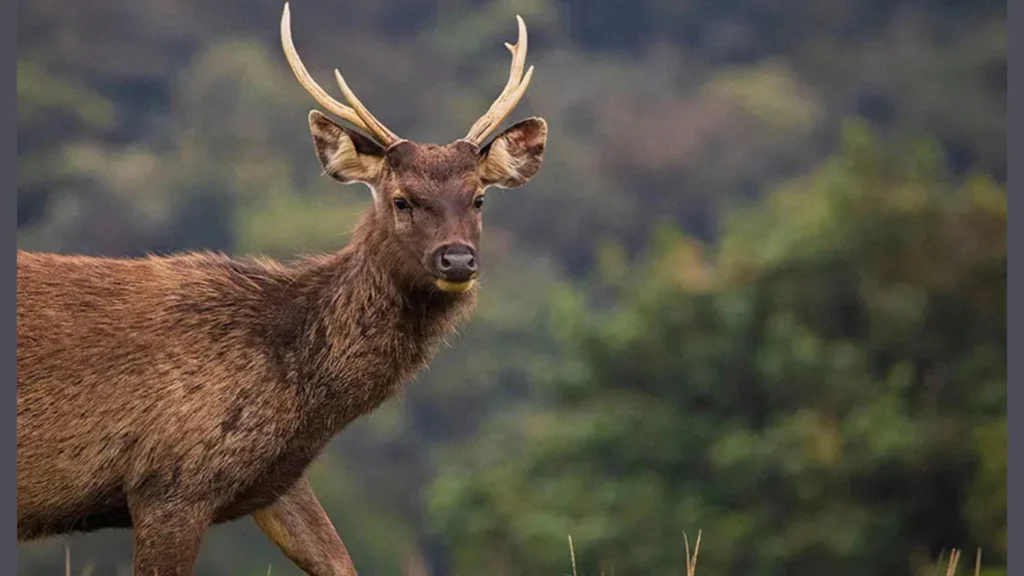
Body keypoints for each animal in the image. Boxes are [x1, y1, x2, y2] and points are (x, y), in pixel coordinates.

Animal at [16, 4, 546, 575]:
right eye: (402, 199)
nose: (457, 258)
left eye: (478, 199)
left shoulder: (277, 480)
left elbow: (339, 561)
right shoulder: (170, 482)